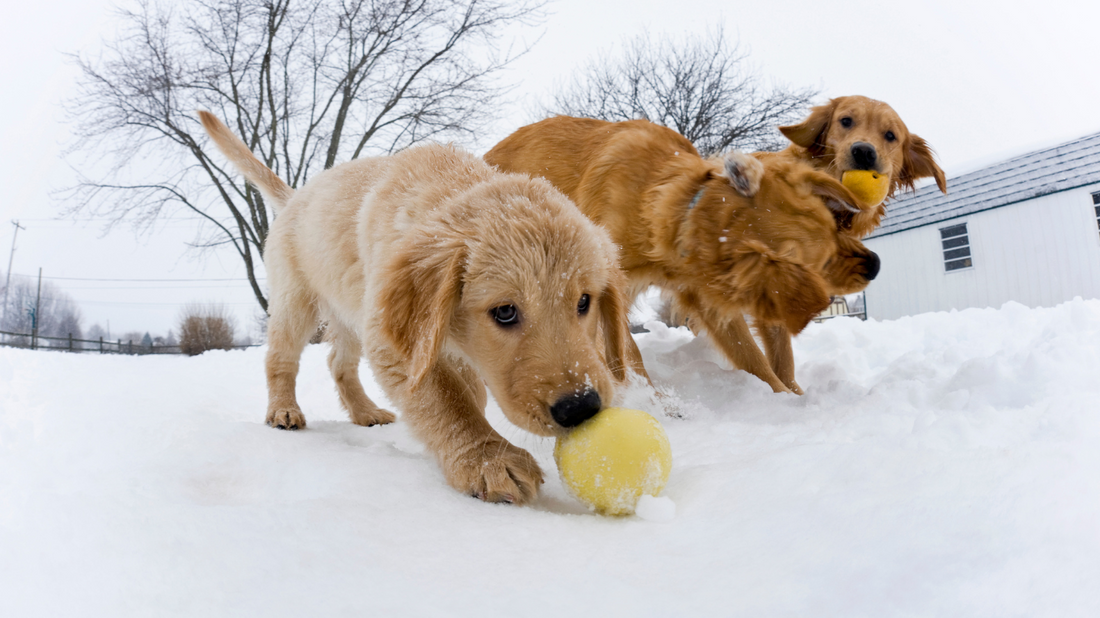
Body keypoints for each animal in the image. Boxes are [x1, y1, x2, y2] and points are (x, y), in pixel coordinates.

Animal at [200, 111, 638, 505]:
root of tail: (295, 196)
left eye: (584, 302)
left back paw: (365, 412)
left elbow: (467, 390)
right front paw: (486, 458)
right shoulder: (398, 340)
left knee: (339, 363)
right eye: (505, 312)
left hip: (350, 313)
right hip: (296, 301)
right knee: (281, 359)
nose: (581, 408)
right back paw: (283, 411)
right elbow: (443, 398)